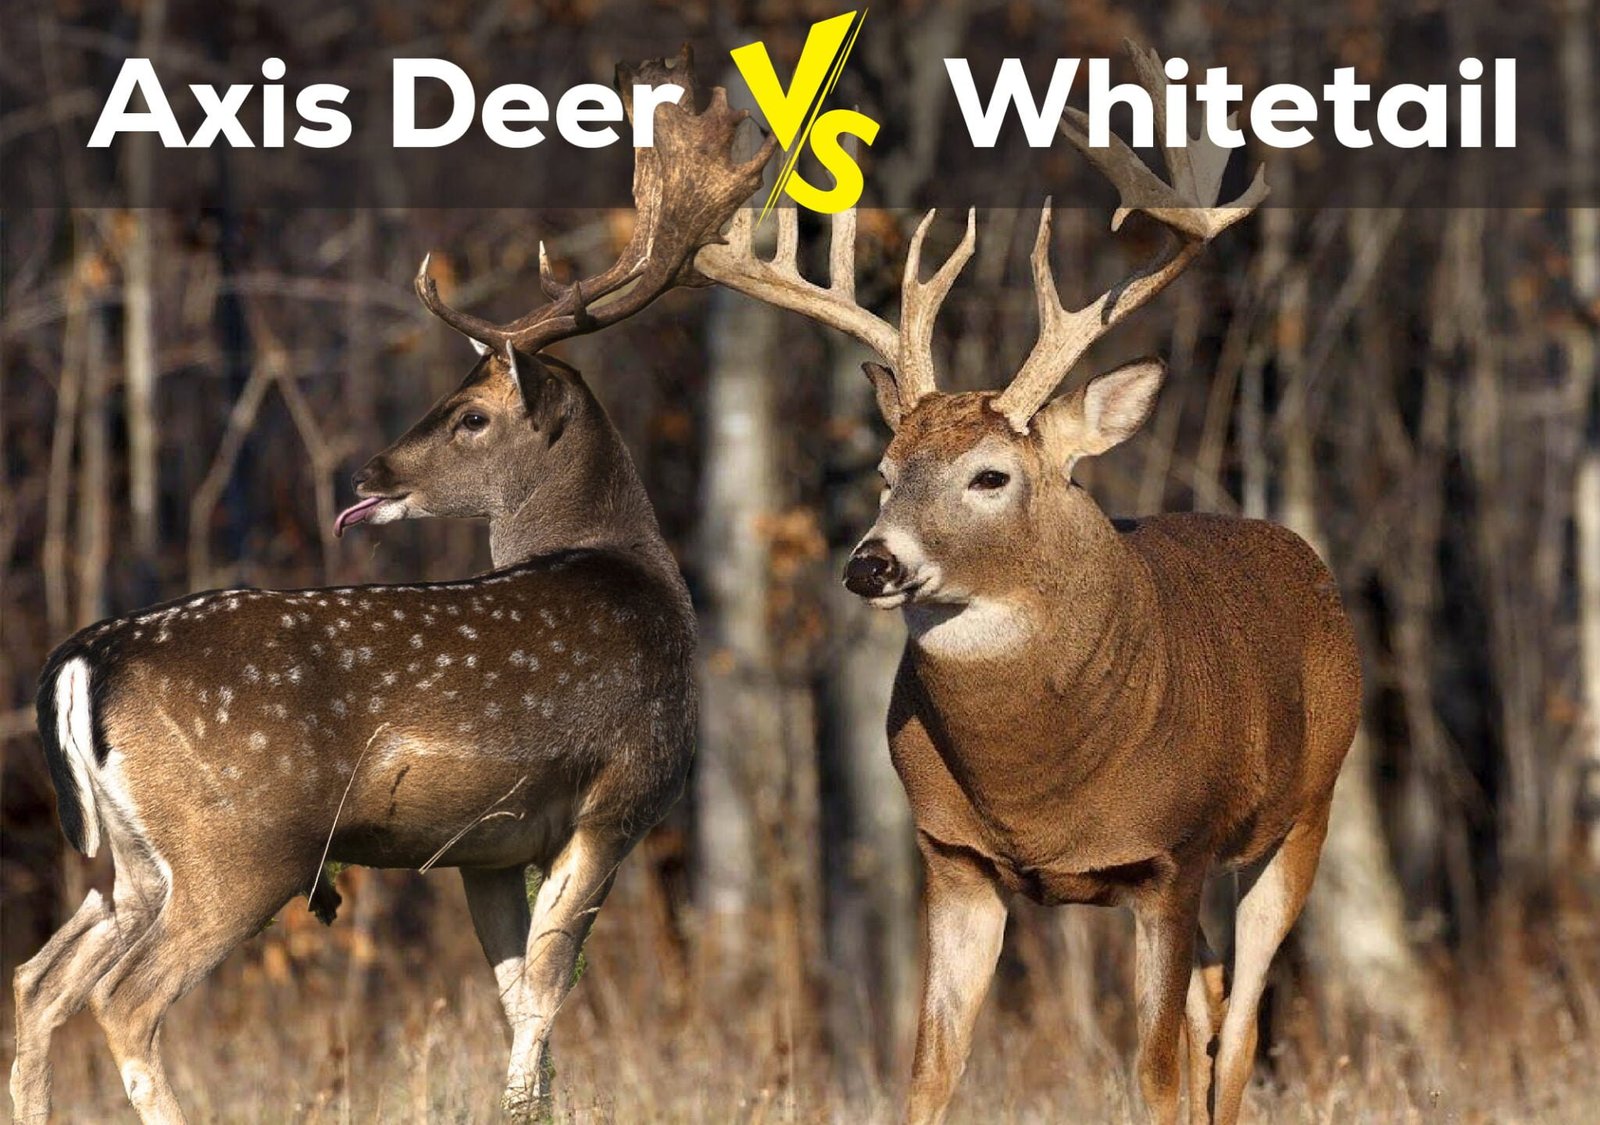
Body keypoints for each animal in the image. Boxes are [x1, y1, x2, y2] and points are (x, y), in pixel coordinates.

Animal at [11, 51, 772, 1125]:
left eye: (468, 416)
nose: (369, 471)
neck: (640, 576)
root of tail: (85, 658)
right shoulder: (620, 792)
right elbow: (548, 986)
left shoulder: (487, 845)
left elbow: (514, 992)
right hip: (241, 842)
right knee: (125, 999)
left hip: (130, 856)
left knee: (39, 979)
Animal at [696, 41, 1360, 1125]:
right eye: (884, 470)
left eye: (990, 476)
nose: (871, 562)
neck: (1038, 788)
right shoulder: (953, 857)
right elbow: (930, 1070)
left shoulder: (1169, 857)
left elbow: (1157, 1076)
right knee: (1219, 1007)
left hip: (1303, 813)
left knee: (1238, 1035)